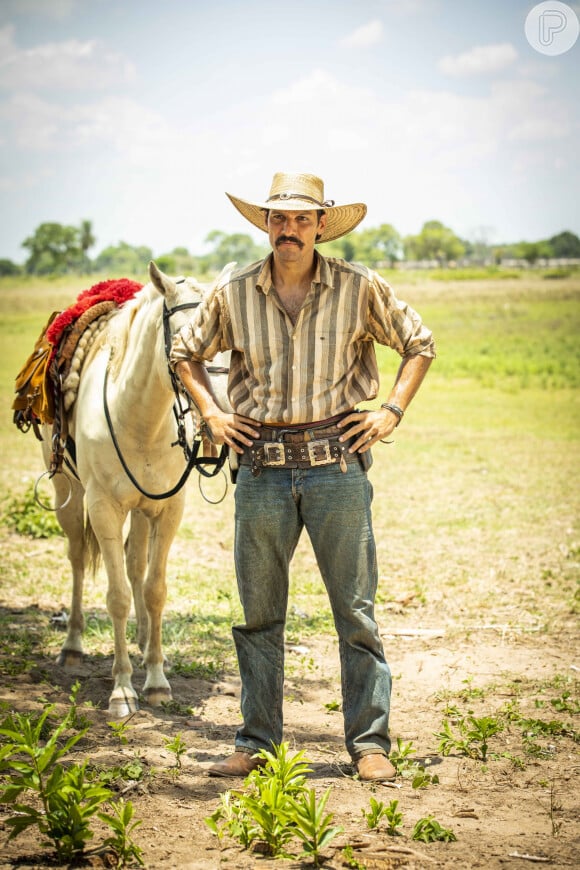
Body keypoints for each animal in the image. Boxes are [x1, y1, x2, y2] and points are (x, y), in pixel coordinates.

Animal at [42, 262, 231, 720]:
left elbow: (154, 589)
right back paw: (72, 647)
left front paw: (157, 680)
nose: (223, 412)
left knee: (136, 566)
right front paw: (123, 689)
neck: (139, 416)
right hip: (67, 493)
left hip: (143, 508)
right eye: (184, 341)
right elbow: (117, 597)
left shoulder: (168, 507)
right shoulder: (103, 508)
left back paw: (145, 643)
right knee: (78, 559)